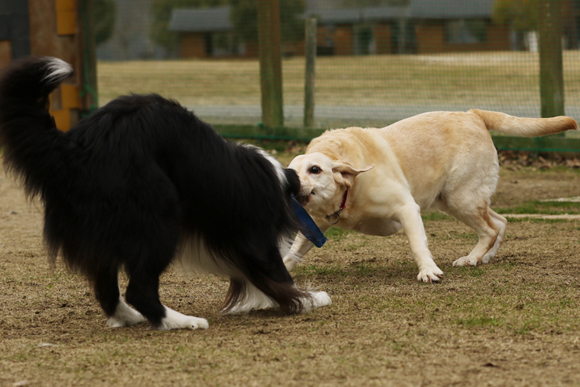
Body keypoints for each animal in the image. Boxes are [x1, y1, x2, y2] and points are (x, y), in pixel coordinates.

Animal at [0, 56, 330, 332]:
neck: (277, 178)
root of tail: (73, 150)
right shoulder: (257, 239)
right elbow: (278, 274)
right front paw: (310, 299)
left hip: (106, 234)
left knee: (105, 286)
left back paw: (128, 317)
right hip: (159, 216)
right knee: (140, 289)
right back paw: (180, 321)